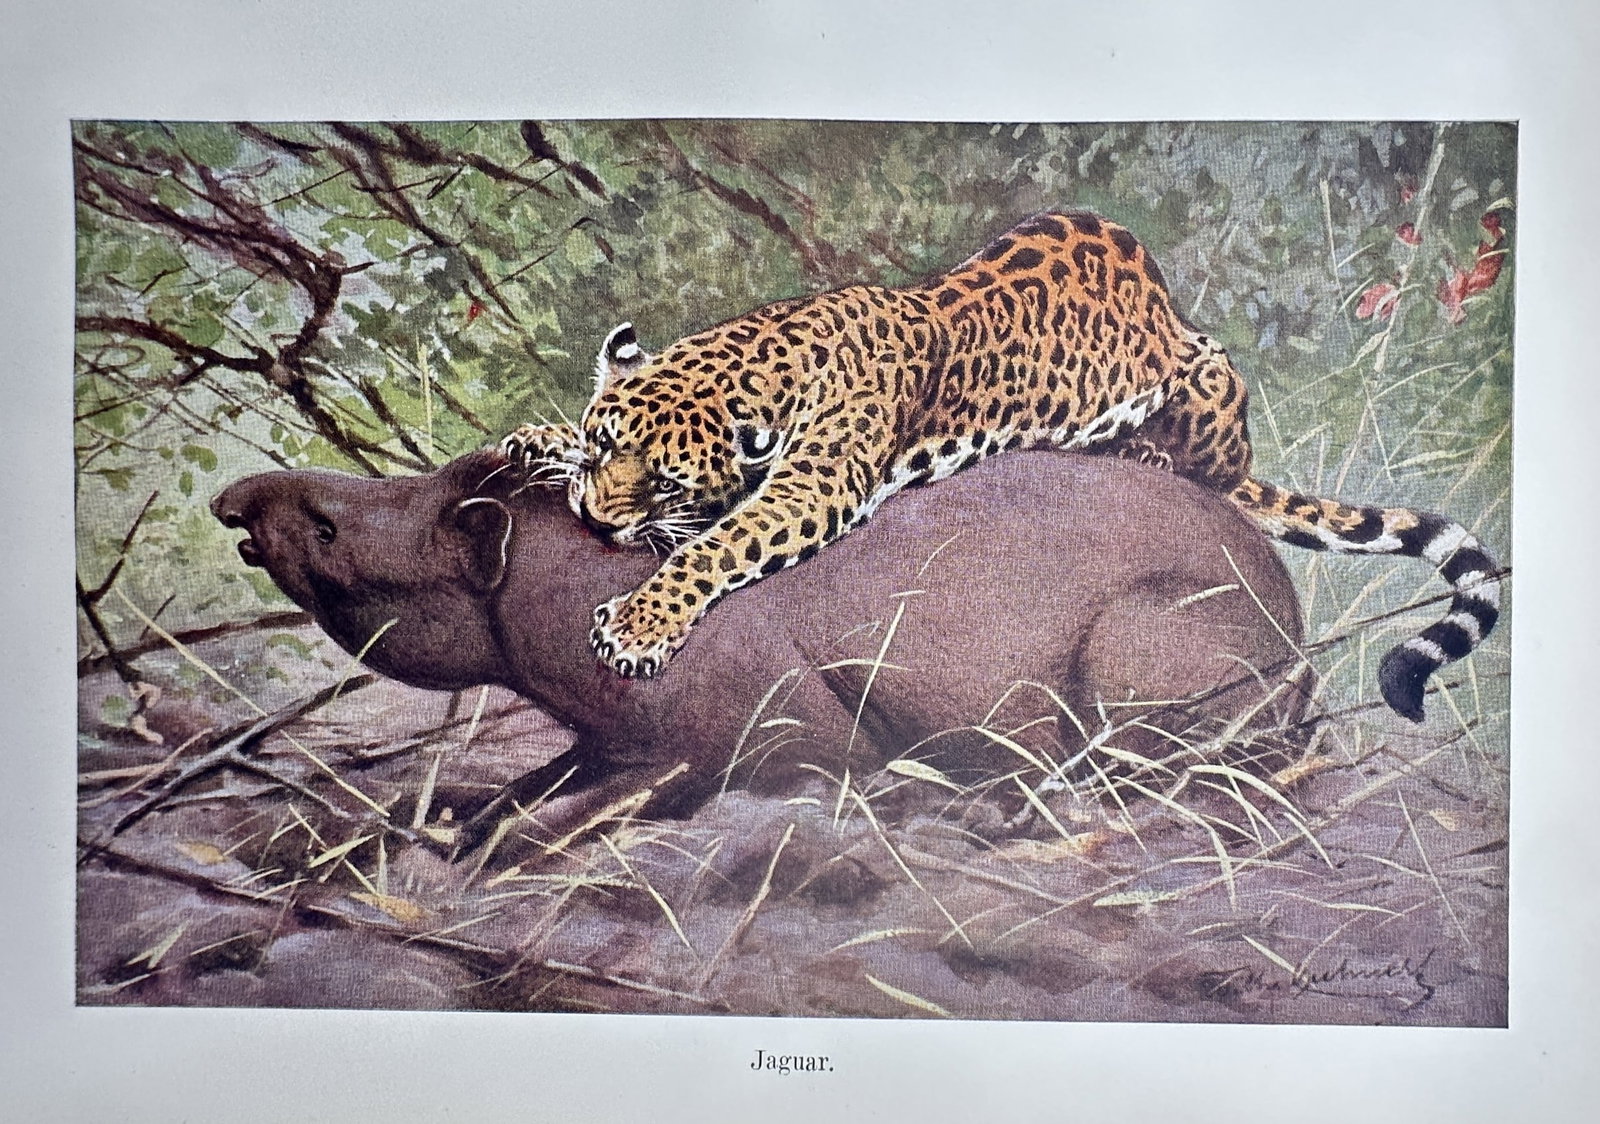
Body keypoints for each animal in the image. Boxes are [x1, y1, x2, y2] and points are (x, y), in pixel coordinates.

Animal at [505, 210, 1502, 722]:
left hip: (1214, 375)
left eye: (667, 480)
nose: (592, 519)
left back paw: (1141, 449)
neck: (770, 351)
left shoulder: (817, 485)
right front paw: (538, 440)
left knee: (1213, 468)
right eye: (604, 445)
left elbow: (716, 543)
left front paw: (639, 624)